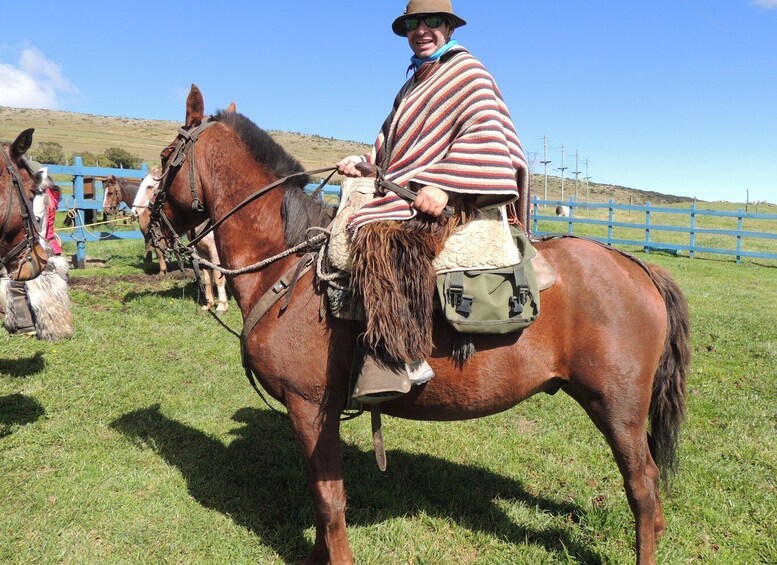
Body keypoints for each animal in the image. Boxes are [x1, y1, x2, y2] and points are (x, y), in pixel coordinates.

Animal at [149, 86, 688, 560]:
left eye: (165, 156)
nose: (148, 223)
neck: (286, 268)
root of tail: (640, 268)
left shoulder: (310, 408)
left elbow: (329, 502)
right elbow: (323, 505)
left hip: (616, 407)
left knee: (643, 490)